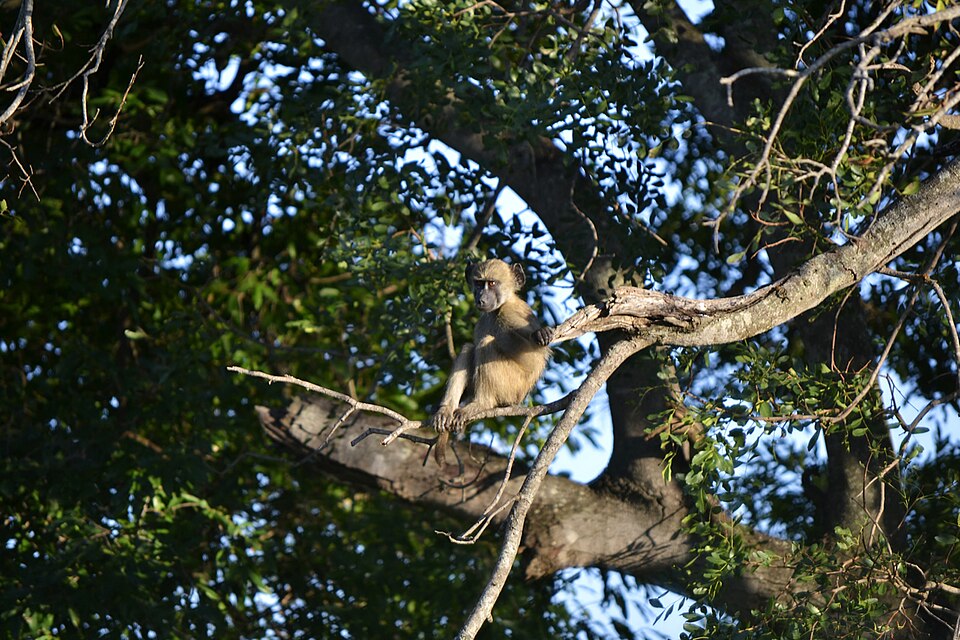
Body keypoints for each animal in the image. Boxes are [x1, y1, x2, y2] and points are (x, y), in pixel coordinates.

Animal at [429, 259, 554, 465]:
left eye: (492, 283)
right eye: (479, 283)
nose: (481, 299)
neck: (498, 309)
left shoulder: (512, 316)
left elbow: (533, 349)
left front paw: (541, 333)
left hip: (511, 387)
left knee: (484, 344)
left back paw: (481, 404)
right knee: (469, 348)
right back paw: (446, 411)